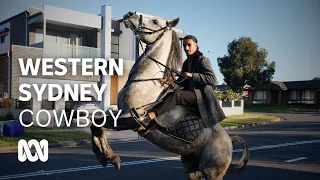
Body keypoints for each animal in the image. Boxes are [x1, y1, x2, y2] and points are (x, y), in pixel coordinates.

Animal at [91, 11, 249, 180]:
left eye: (155, 21)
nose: (129, 14)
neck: (146, 81)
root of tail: (228, 141)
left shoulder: (130, 119)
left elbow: (100, 126)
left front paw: (111, 157)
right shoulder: (120, 113)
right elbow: (96, 124)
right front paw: (103, 156)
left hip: (213, 173)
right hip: (191, 168)